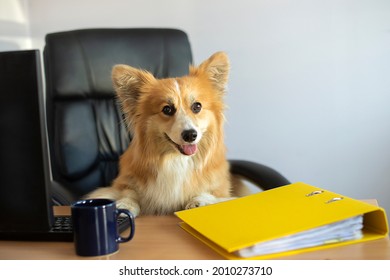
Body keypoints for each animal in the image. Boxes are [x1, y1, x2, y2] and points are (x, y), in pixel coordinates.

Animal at [86, 51, 241, 217]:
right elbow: (128, 193)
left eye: (197, 106)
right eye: (167, 109)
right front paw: (125, 205)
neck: (176, 160)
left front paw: (199, 202)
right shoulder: (122, 183)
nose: (190, 135)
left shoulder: (220, 190)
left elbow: (214, 196)